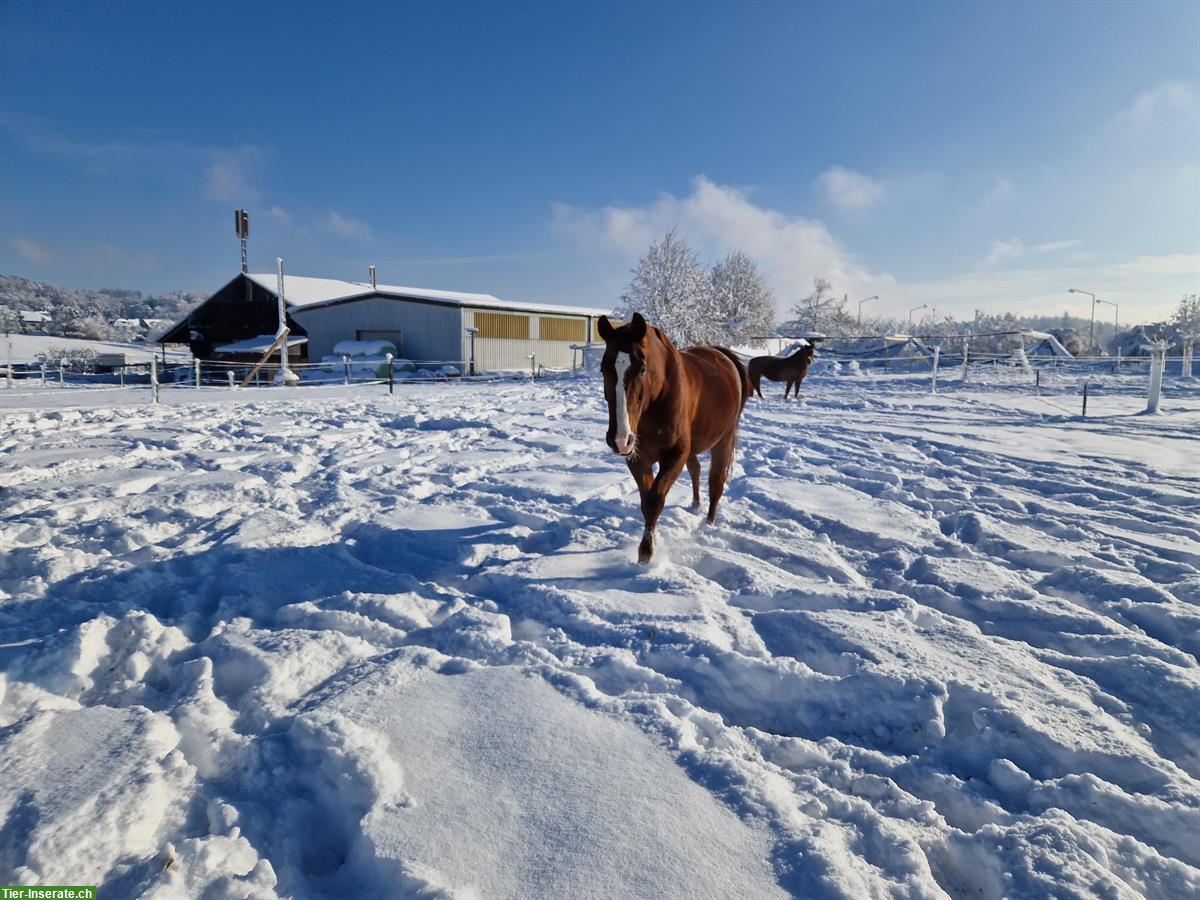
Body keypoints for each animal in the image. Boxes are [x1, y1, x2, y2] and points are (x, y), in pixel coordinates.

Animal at [595, 312, 744, 564]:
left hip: (723, 440)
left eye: (642, 369)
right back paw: (695, 504)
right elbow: (646, 501)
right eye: (603, 369)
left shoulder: (675, 455)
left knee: (716, 483)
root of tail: (723, 356)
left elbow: (655, 500)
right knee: (696, 470)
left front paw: (646, 553)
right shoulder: (638, 458)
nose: (620, 439)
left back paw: (708, 523)